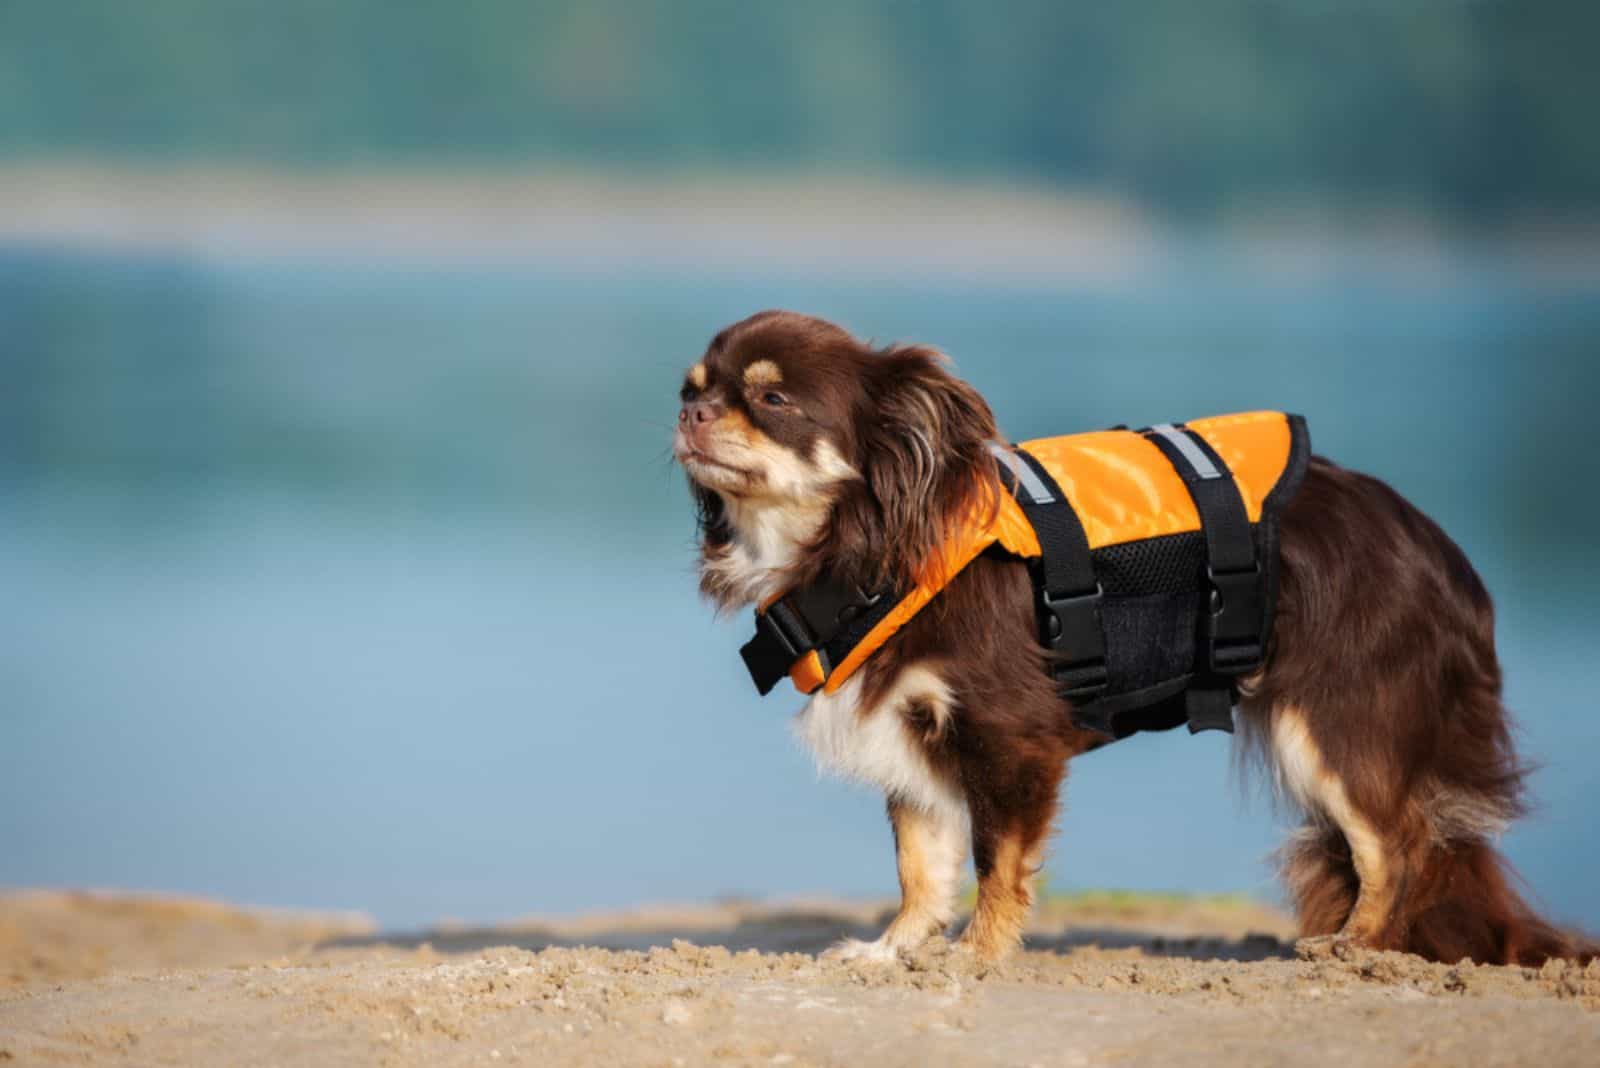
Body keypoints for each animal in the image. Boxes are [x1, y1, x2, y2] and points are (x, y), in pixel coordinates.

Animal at [668, 308, 1580, 965]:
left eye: (773, 400)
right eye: (693, 388)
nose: (690, 411)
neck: (863, 550)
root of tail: (1442, 553)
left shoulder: (1009, 740)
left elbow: (997, 861)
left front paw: (978, 955)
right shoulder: (911, 732)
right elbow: (921, 866)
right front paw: (894, 952)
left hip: (1332, 728)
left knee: (1396, 844)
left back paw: (1357, 945)